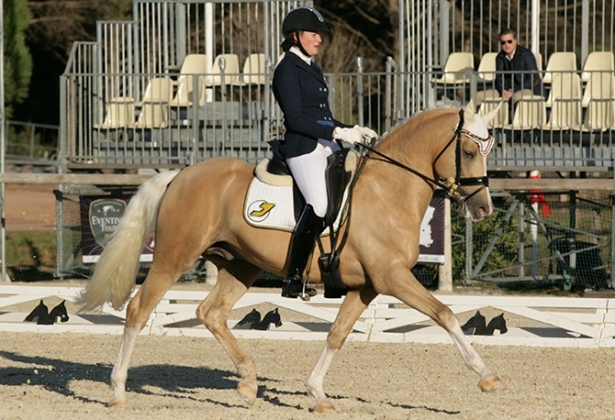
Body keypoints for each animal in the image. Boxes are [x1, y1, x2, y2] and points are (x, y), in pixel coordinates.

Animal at [77, 101, 506, 410]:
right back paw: (118, 391)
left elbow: (337, 335)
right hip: (173, 257)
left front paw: (317, 393)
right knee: (139, 310)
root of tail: (179, 175)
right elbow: (445, 314)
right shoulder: (393, 277)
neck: (388, 189)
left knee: (210, 313)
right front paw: (486, 376)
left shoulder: (367, 286)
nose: (483, 208)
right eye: (470, 151)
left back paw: (248, 382)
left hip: (240, 265)